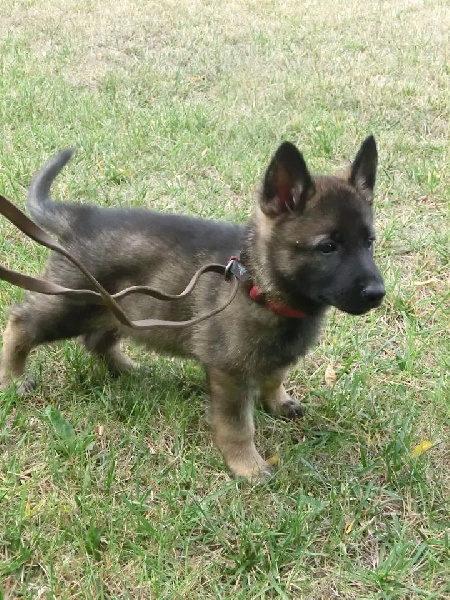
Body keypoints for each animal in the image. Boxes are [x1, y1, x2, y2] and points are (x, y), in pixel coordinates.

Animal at [0, 137, 385, 480]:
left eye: (369, 242)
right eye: (328, 247)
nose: (378, 293)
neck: (258, 284)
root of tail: (80, 217)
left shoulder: (273, 356)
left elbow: (275, 376)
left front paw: (278, 401)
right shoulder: (229, 373)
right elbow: (238, 426)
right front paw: (246, 466)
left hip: (122, 307)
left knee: (98, 340)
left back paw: (126, 369)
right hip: (71, 303)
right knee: (22, 322)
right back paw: (13, 377)